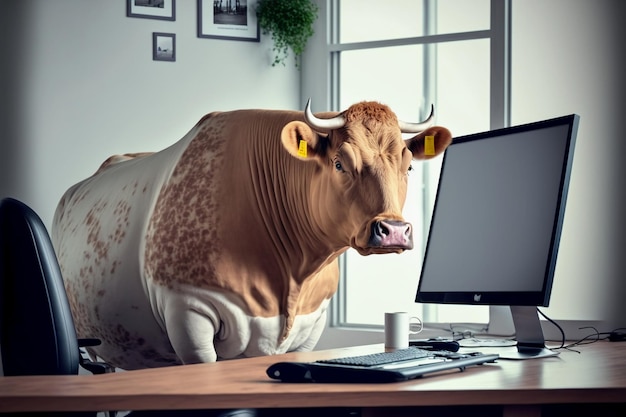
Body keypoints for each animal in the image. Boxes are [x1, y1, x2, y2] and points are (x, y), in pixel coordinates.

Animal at [50, 99, 448, 368]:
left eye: (409, 165)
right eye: (339, 163)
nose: (393, 230)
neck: (291, 277)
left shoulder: (311, 324)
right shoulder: (188, 313)